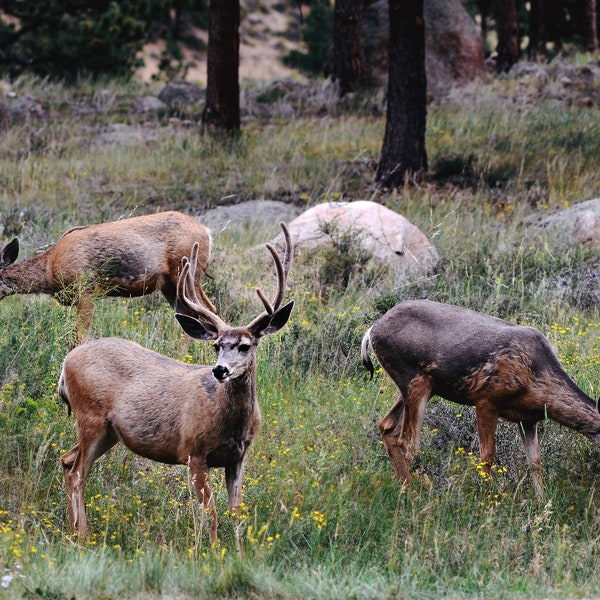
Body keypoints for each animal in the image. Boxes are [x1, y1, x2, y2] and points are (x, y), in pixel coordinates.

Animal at [0, 211, 214, 342]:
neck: (50, 268)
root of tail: (207, 232)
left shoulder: (86, 290)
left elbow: (79, 336)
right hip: (170, 285)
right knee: (188, 317)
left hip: (188, 273)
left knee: (209, 309)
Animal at [58, 224, 292, 544]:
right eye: (216, 345)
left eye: (245, 346)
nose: (220, 370)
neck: (230, 421)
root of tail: (66, 363)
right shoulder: (194, 452)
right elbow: (211, 513)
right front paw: (213, 550)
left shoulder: (238, 458)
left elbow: (236, 512)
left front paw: (239, 551)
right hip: (90, 416)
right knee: (78, 472)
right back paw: (82, 537)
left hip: (110, 432)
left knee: (68, 460)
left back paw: (77, 531)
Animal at [360, 300, 600, 496]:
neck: (537, 378)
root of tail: (371, 330)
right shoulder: (486, 398)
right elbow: (487, 456)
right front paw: (484, 497)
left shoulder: (527, 419)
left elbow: (535, 461)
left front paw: (541, 503)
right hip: (414, 379)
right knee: (408, 441)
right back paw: (429, 490)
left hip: (416, 387)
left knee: (388, 426)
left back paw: (407, 489)